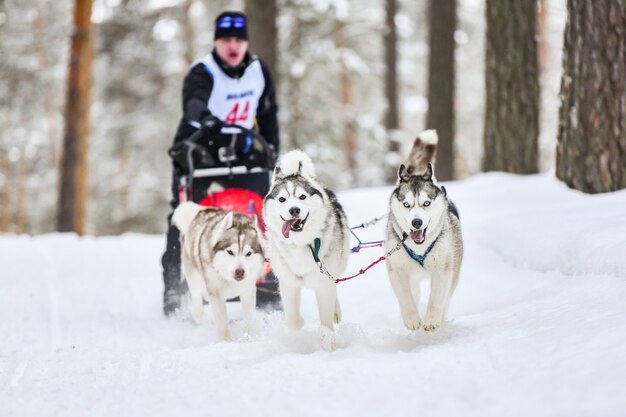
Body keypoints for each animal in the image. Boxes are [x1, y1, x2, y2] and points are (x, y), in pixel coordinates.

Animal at [172, 202, 264, 342]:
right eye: (230, 252)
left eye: (248, 253)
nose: (240, 272)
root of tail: (203, 210)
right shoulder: (216, 294)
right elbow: (222, 323)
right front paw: (227, 342)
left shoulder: (248, 290)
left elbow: (249, 318)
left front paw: (249, 336)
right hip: (195, 280)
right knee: (197, 302)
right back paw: (200, 318)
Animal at [262, 151, 348, 330]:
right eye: (282, 199)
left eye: (302, 197)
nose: (294, 210)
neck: (301, 243)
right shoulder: (288, 284)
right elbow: (293, 320)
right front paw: (299, 323)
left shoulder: (323, 284)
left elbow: (326, 320)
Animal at [382, 130, 460, 332]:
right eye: (406, 204)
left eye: (426, 203)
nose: (416, 222)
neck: (419, 247)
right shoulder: (397, 270)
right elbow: (404, 295)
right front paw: (412, 318)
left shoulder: (442, 269)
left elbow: (436, 297)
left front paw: (432, 319)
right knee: (414, 293)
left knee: (446, 298)